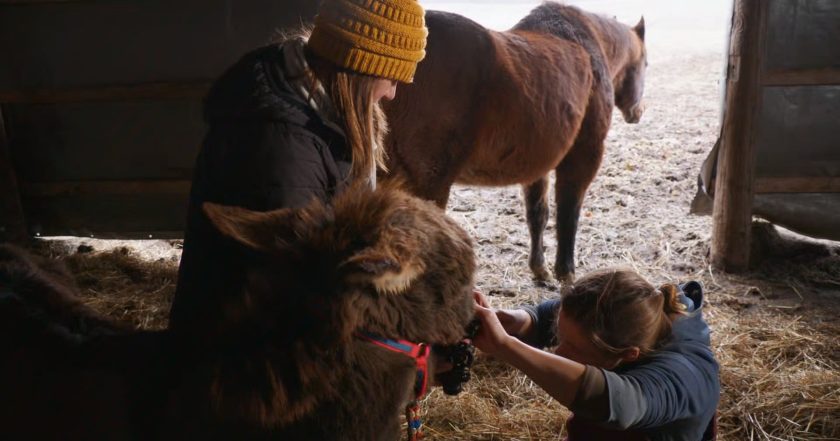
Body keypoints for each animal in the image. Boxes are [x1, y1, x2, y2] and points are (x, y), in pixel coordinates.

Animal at [384, 3, 648, 282]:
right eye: (646, 63)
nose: (638, 112)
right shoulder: (583, 157)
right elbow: (568, 214)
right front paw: (566, 274)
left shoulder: (536, 164)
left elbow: (538, 214)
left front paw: (540, 269)